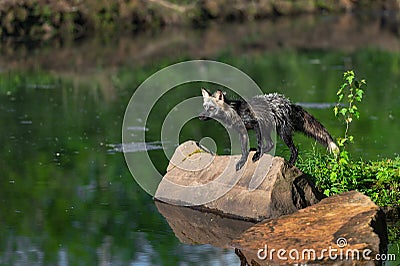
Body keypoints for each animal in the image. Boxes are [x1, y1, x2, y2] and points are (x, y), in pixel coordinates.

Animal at [198, 88, 340, 170]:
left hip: (282, 133)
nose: (200, 116)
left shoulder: (255, 124)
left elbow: (259, 143)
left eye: (211, 108)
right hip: (268, 129)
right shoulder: (242, 132)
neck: (235, 112)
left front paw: (256, 155)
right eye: (205, 107)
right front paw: (243, 161)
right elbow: (244, 149)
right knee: (271, 144)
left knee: (294, 150)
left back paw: (290, 163)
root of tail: (289, 103)